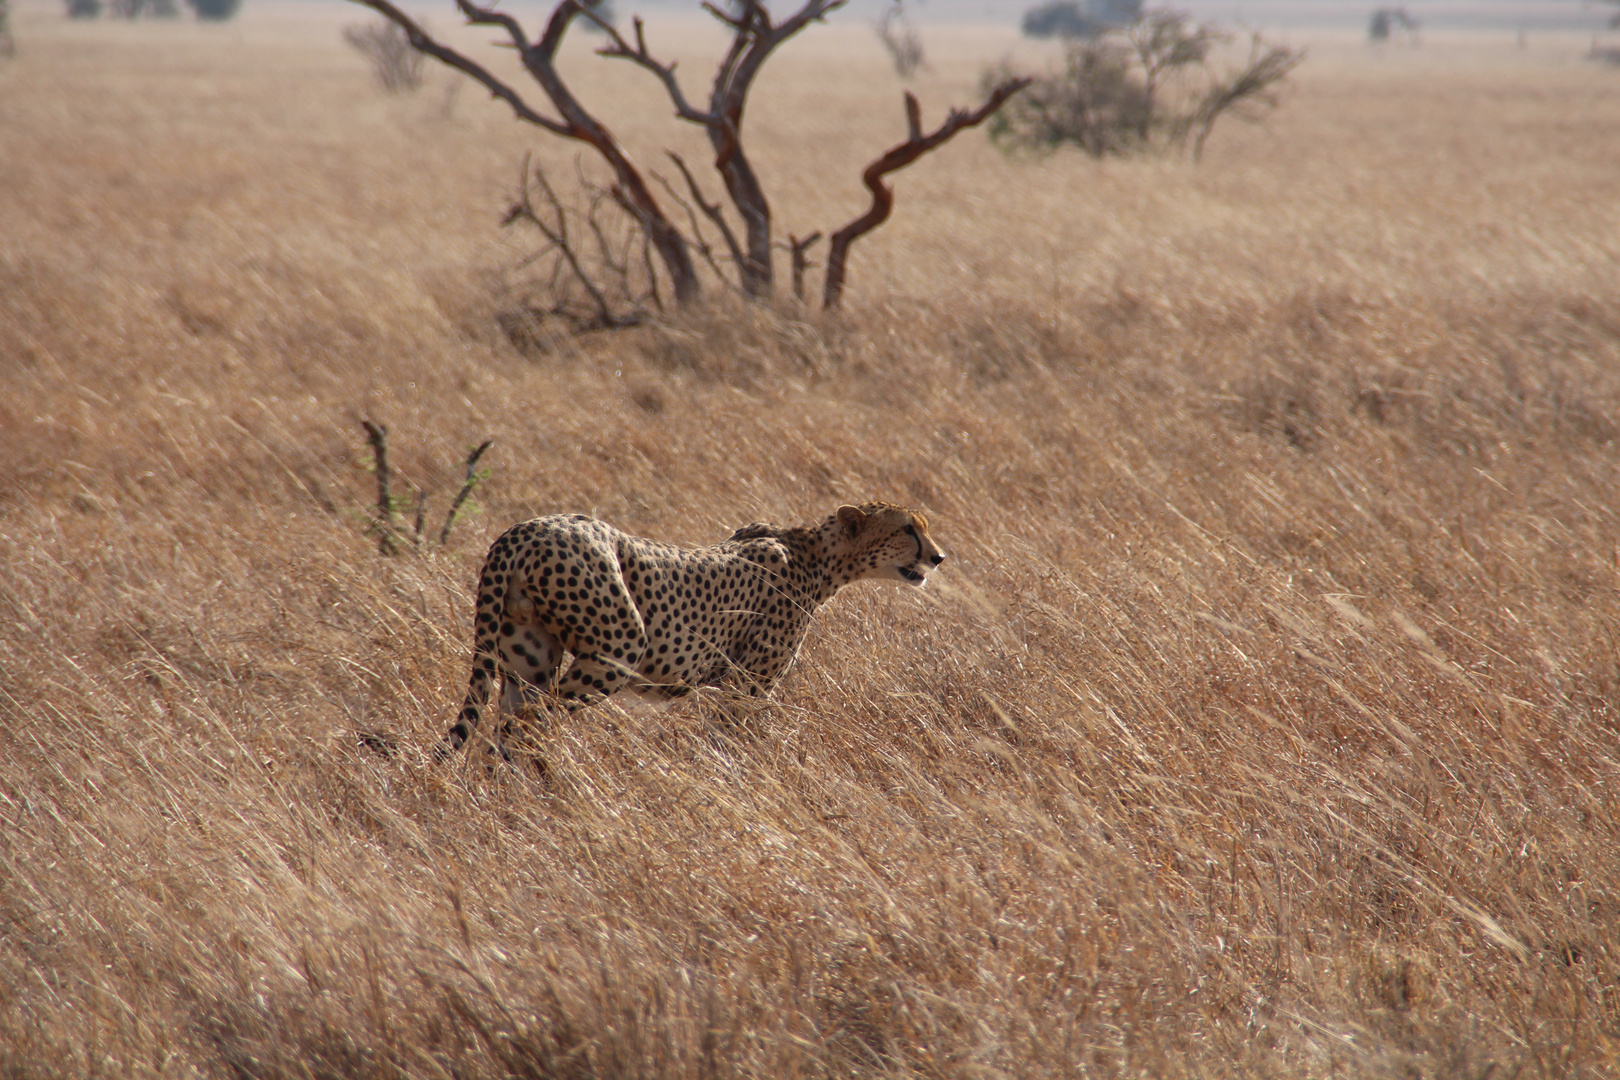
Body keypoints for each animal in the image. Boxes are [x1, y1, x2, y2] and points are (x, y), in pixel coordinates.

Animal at [443, 501, 946, 757]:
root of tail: (524, 529)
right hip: (618, 648)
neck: (816, 557)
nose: (939, 556)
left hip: (528, 660)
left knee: (503, 729)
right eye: (908, 529)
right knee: (529, 723)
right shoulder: (747, 687)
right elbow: (732, 745)